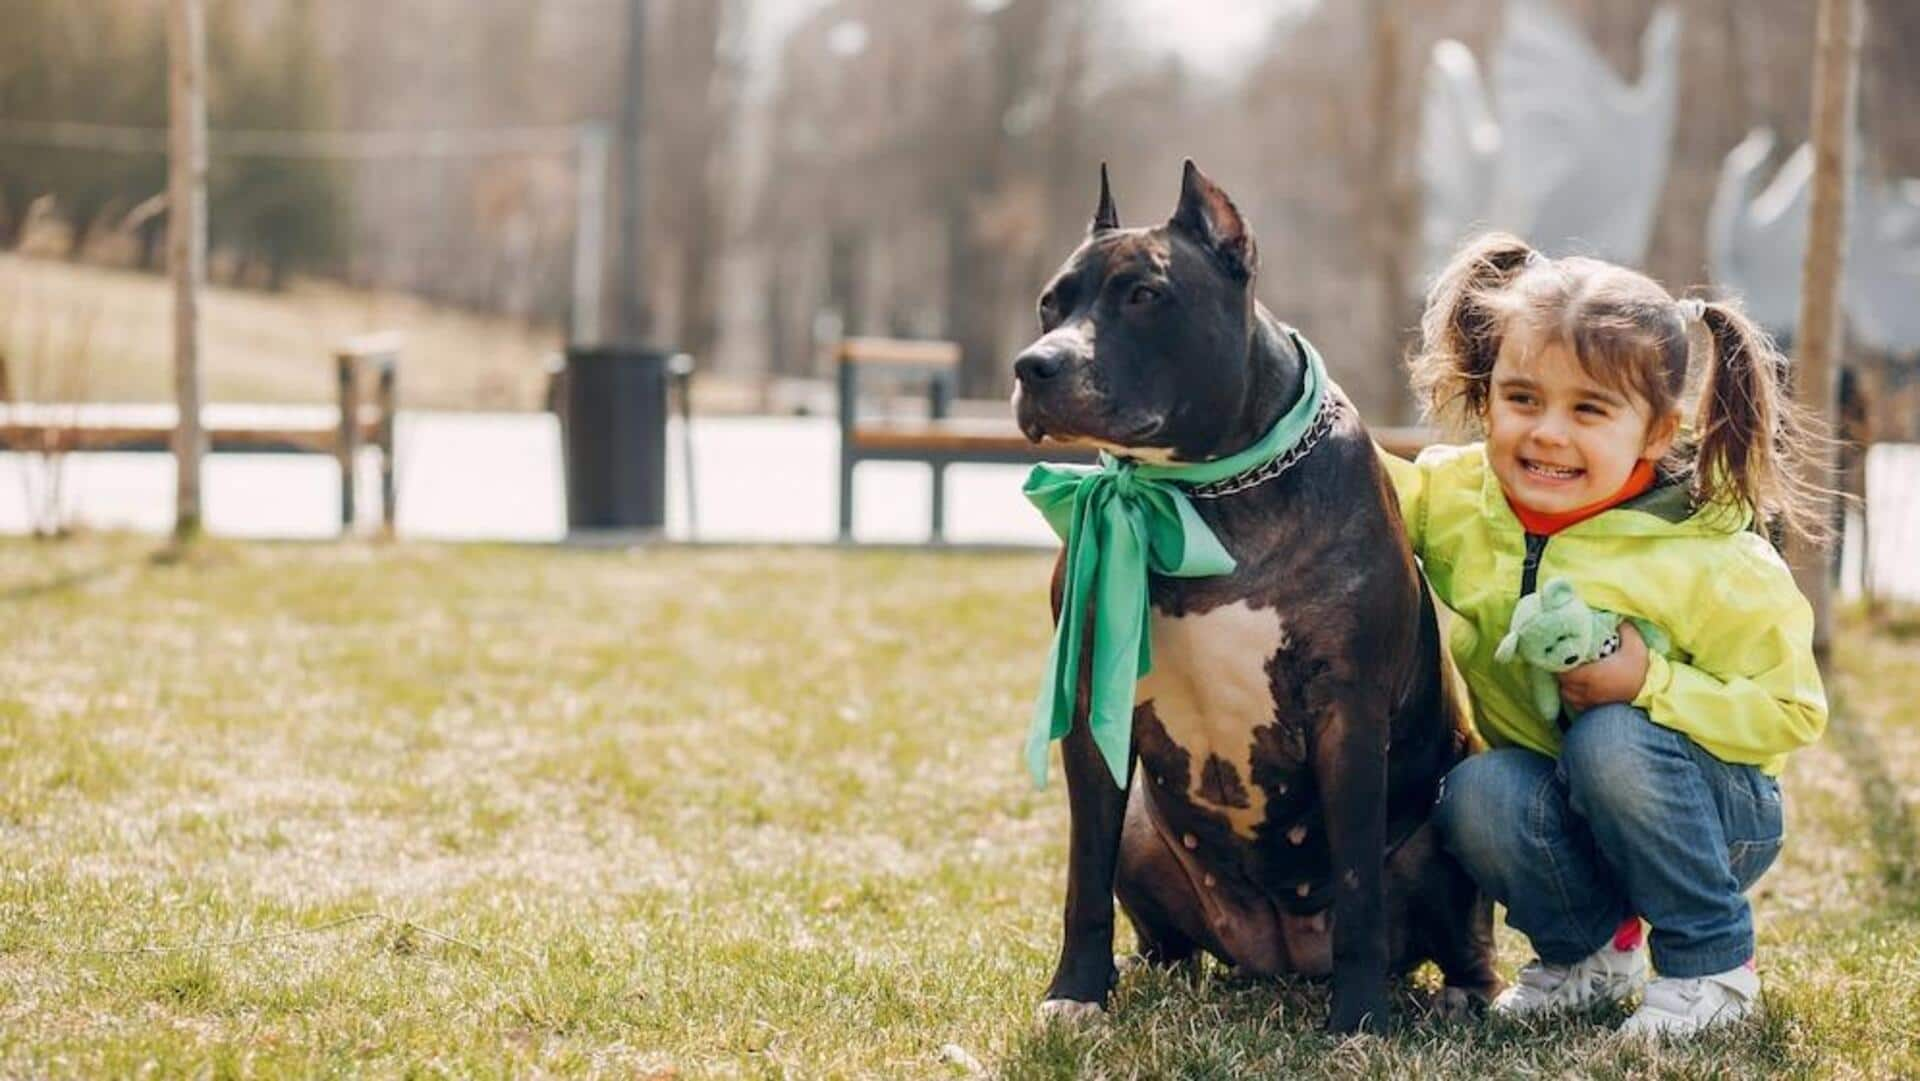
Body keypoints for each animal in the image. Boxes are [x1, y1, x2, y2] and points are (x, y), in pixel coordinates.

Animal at [1013, 158, 1505, 1029]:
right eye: (1052, 301)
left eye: (1144, 295)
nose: (1035, 364)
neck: (1202, 495)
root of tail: (1279, 958)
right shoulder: (1093, 702)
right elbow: (1083, 873)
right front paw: (1075, 991)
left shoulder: (1347, 708)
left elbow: (1358, 886)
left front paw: (1360, 1019)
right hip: (1147, 835)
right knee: (1160, 926)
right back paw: (1149, 971)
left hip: (1448, 818)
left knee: (1463, 938)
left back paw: (1462, 994)